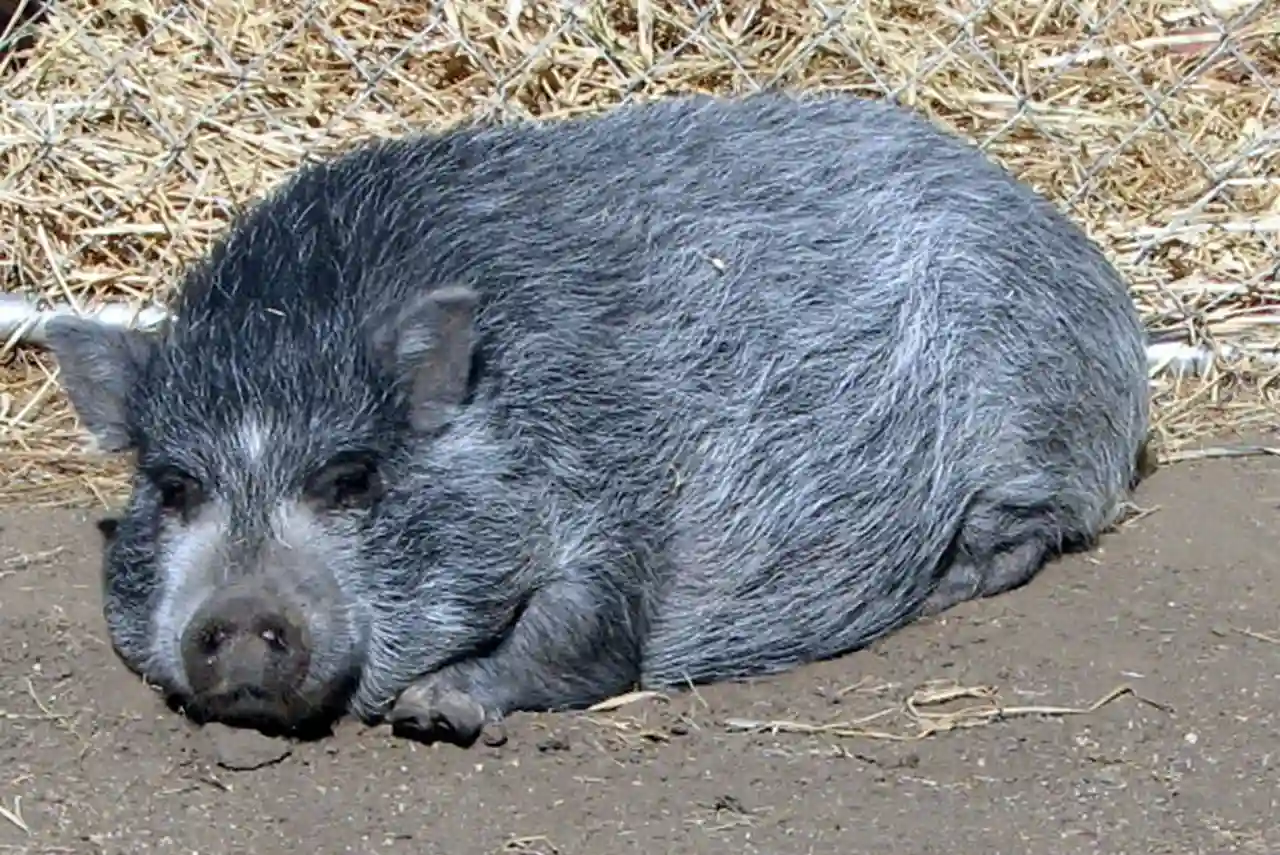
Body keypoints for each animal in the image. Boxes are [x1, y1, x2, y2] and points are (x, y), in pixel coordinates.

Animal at [46, 90, 1151, 746]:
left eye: (351, 478)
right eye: (174, 487)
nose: (237, 617)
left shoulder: (617, 495)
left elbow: (585, 637)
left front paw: (431, 713)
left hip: (1041, 425)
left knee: (1028, 533)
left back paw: (941, 585)